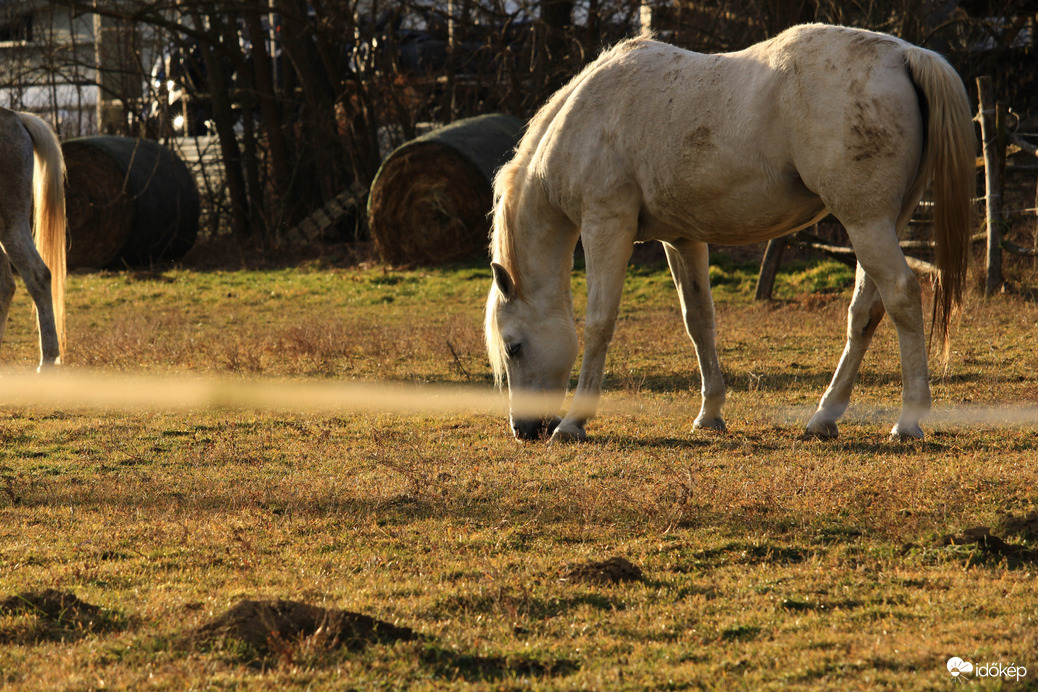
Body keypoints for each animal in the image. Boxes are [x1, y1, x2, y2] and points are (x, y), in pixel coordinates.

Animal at [485, 24, 971, 444]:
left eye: (513, 347)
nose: (523, 430)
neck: (588, 117)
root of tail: (904, 54)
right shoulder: (681, 240)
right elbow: (699, 321)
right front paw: (710, 414)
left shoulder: (607, 226)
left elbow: (600, 322)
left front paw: (573, 423)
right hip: (880, 225)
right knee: (866, 313)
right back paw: (824, 417)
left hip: (865, 223)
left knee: (903, 296)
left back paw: (908, 421)